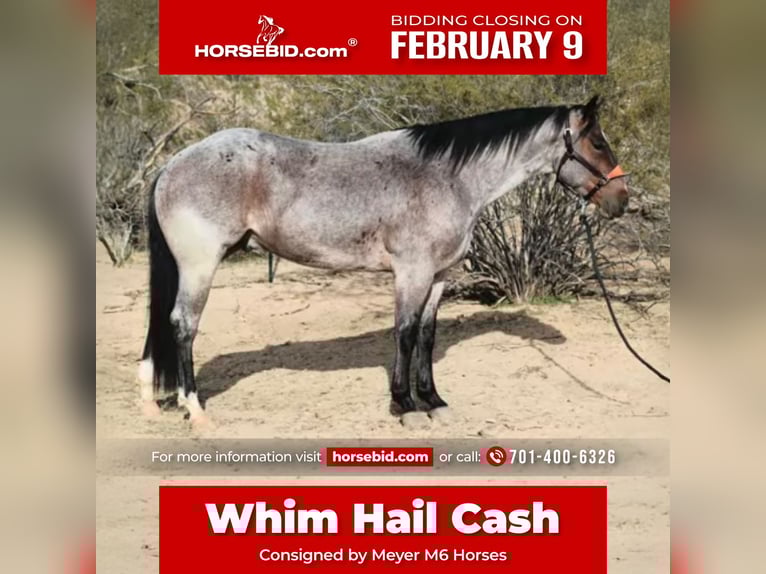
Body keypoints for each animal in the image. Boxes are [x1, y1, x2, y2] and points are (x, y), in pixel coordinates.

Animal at [137, 95, 629, 427]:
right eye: (597, 142)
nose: (621, 199)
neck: (448, 177)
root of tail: (171, 165)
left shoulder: (438, 275)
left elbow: (427, 335)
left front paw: (433, 401)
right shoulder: (411, 273)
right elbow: (405, 333)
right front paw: (404, 406)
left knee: (163, 324)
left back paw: (149, 401)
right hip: (200, 266)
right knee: (182, 325)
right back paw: (195, 410)